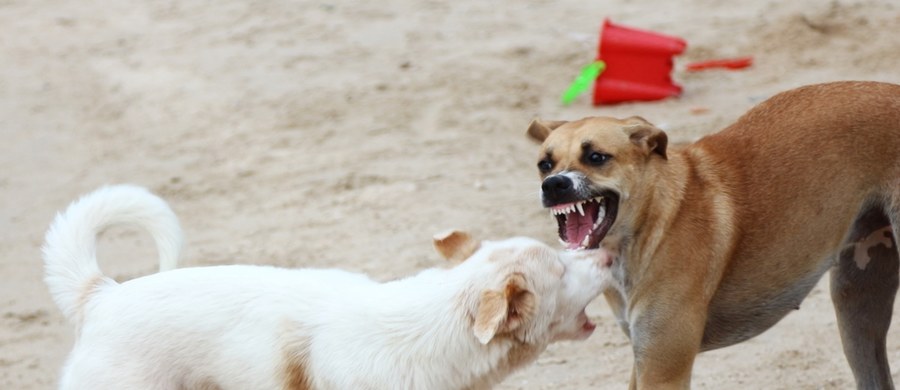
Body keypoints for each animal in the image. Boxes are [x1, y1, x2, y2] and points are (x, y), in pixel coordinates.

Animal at [524, 80, 900, 388]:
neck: (655, 221)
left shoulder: (663, 372)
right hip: (856, 304)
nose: (554, 185)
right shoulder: (643, 358)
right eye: (545, 164)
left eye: (597, 157)